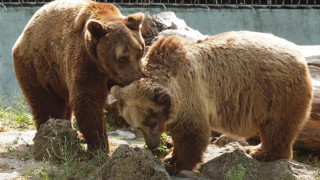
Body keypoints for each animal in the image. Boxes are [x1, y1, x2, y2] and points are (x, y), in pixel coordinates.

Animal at [12, 0, 145, 152]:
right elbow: (87, 101)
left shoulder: (115, 74)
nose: (136, 77)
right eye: (122, 57)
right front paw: (100, 147)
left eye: (140, 50)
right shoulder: (84, 62)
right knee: (45, 103)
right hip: (37, 67)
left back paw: (72, 132)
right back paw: (50, 133)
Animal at [111, 31, 314, 174]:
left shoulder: (191, 95)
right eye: (137, 126)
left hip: (276, 91)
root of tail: (301, 57)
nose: (152, 145)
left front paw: (173, 164)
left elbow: (191, 134)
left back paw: (260, 152)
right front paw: (170, 156)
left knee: (277, 126)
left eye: (151, 121)